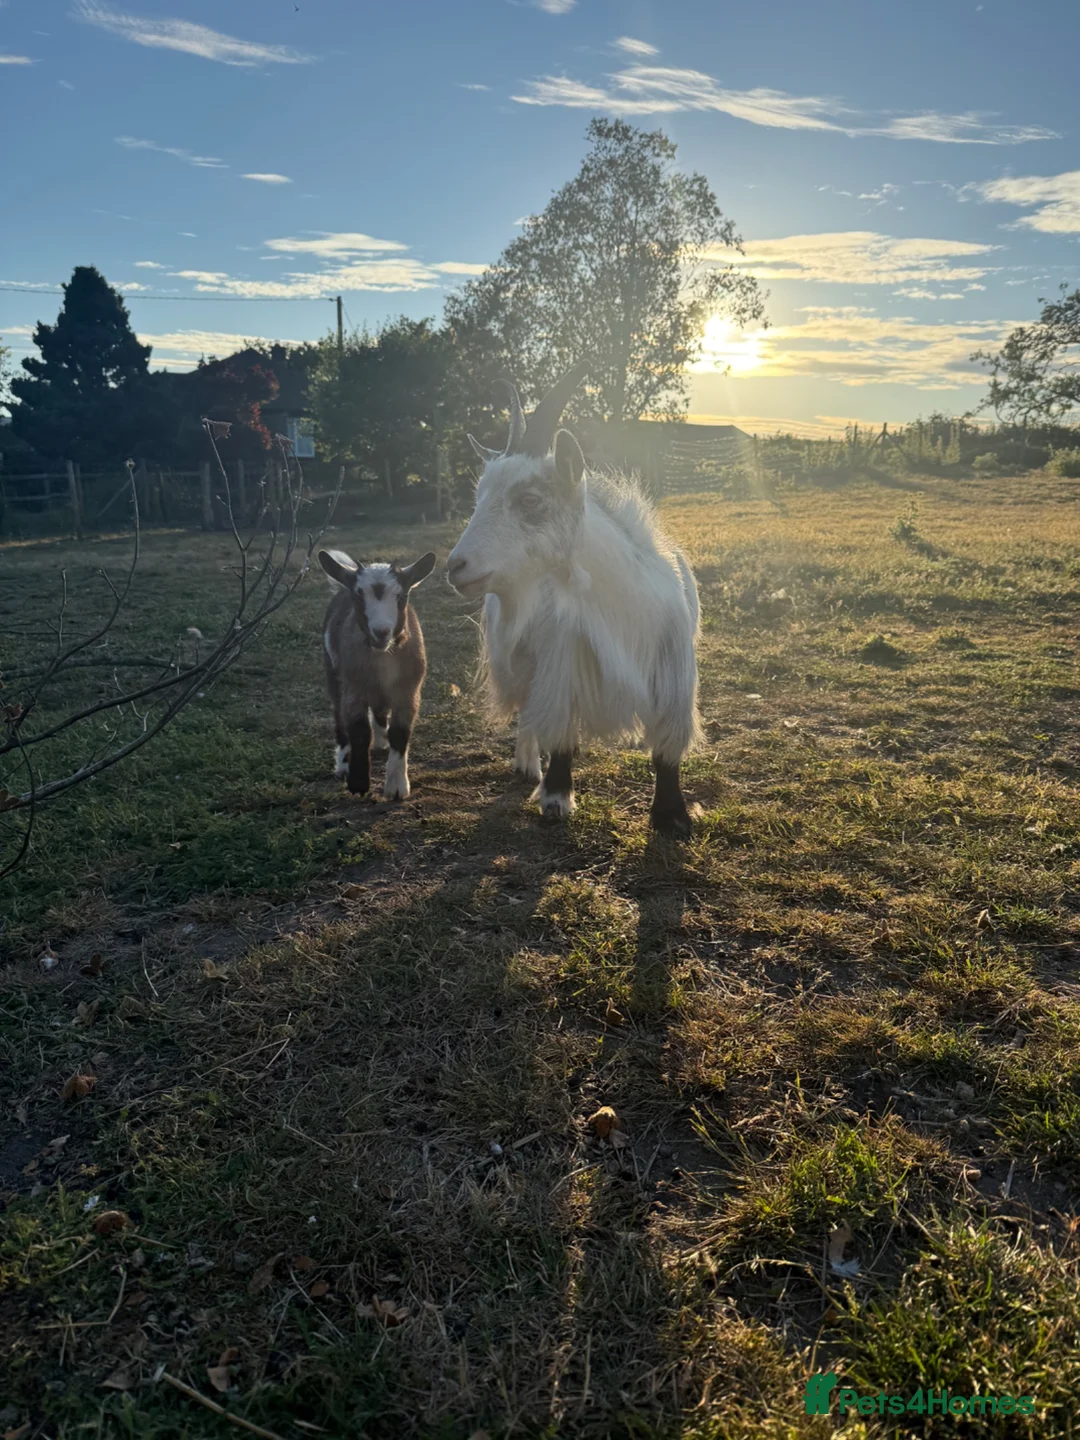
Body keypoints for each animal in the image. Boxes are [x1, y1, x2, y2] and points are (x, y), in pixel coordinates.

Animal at [318, 548, 436, 800]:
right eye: (358, 596)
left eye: (402, 596)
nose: (381, 632)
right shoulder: (353, 689)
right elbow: (359, 731)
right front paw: (358, 783)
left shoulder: (409, 692)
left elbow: (400, 733)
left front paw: (397, 787)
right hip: (333, 673)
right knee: (339, 716)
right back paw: (343, 764)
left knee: (381, 710)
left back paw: (381, 741)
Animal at [446, 363, 701, 837]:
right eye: (478, 497)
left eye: (530, 499)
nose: (456, 567)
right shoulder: (560, 663)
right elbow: (559, 728)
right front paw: (556, 795)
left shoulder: (674, 672)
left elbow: (667, 745)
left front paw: (672, 815)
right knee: (529, 711)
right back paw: (527, 763)